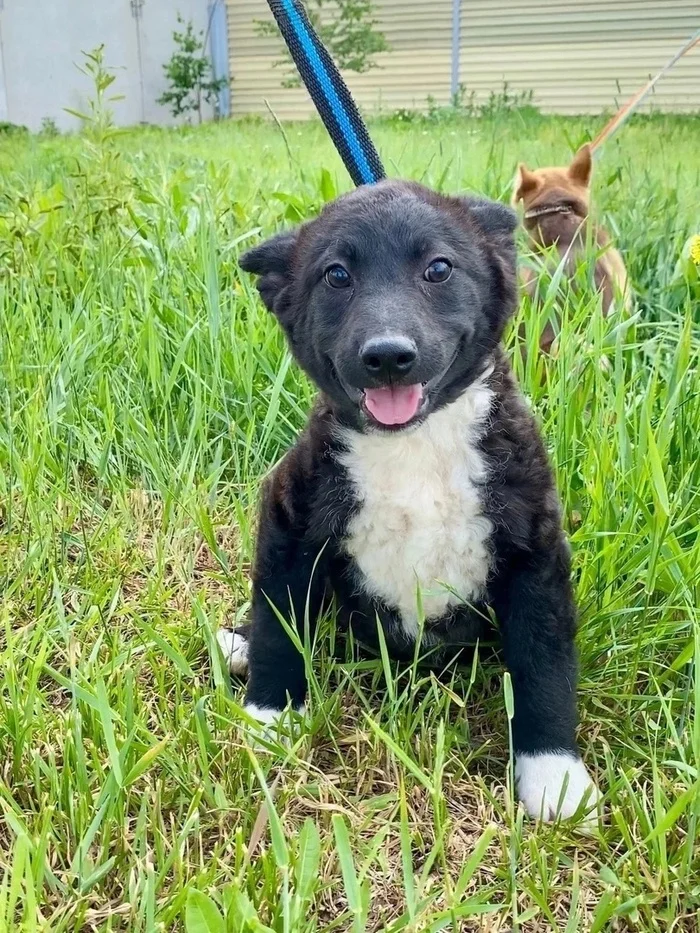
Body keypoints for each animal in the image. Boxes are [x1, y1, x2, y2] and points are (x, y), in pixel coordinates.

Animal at [217, 178, 596, 820]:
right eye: (336, 275)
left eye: (438, 269)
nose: (388, 355)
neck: (415, 445)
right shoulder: (290, 519)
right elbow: (278, 623)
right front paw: (270, 715)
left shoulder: (534, 549)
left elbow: (544, 663)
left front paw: (553, 773)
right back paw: (238, 645)